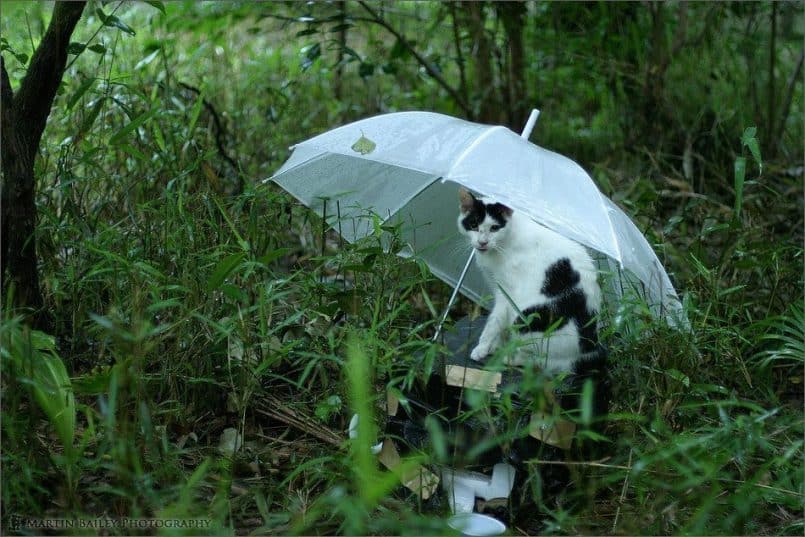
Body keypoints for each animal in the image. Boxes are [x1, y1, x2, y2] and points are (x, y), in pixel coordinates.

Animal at [458, 186, 604, 374]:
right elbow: (500, 323)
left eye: (495, 228)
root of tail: (589, 351)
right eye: (474, 225)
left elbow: (494, 322)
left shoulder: (506, 293)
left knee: (539, 362)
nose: (482, 242)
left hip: (527, 317)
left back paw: (510, 358)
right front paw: (494, 345)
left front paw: (482, 347)